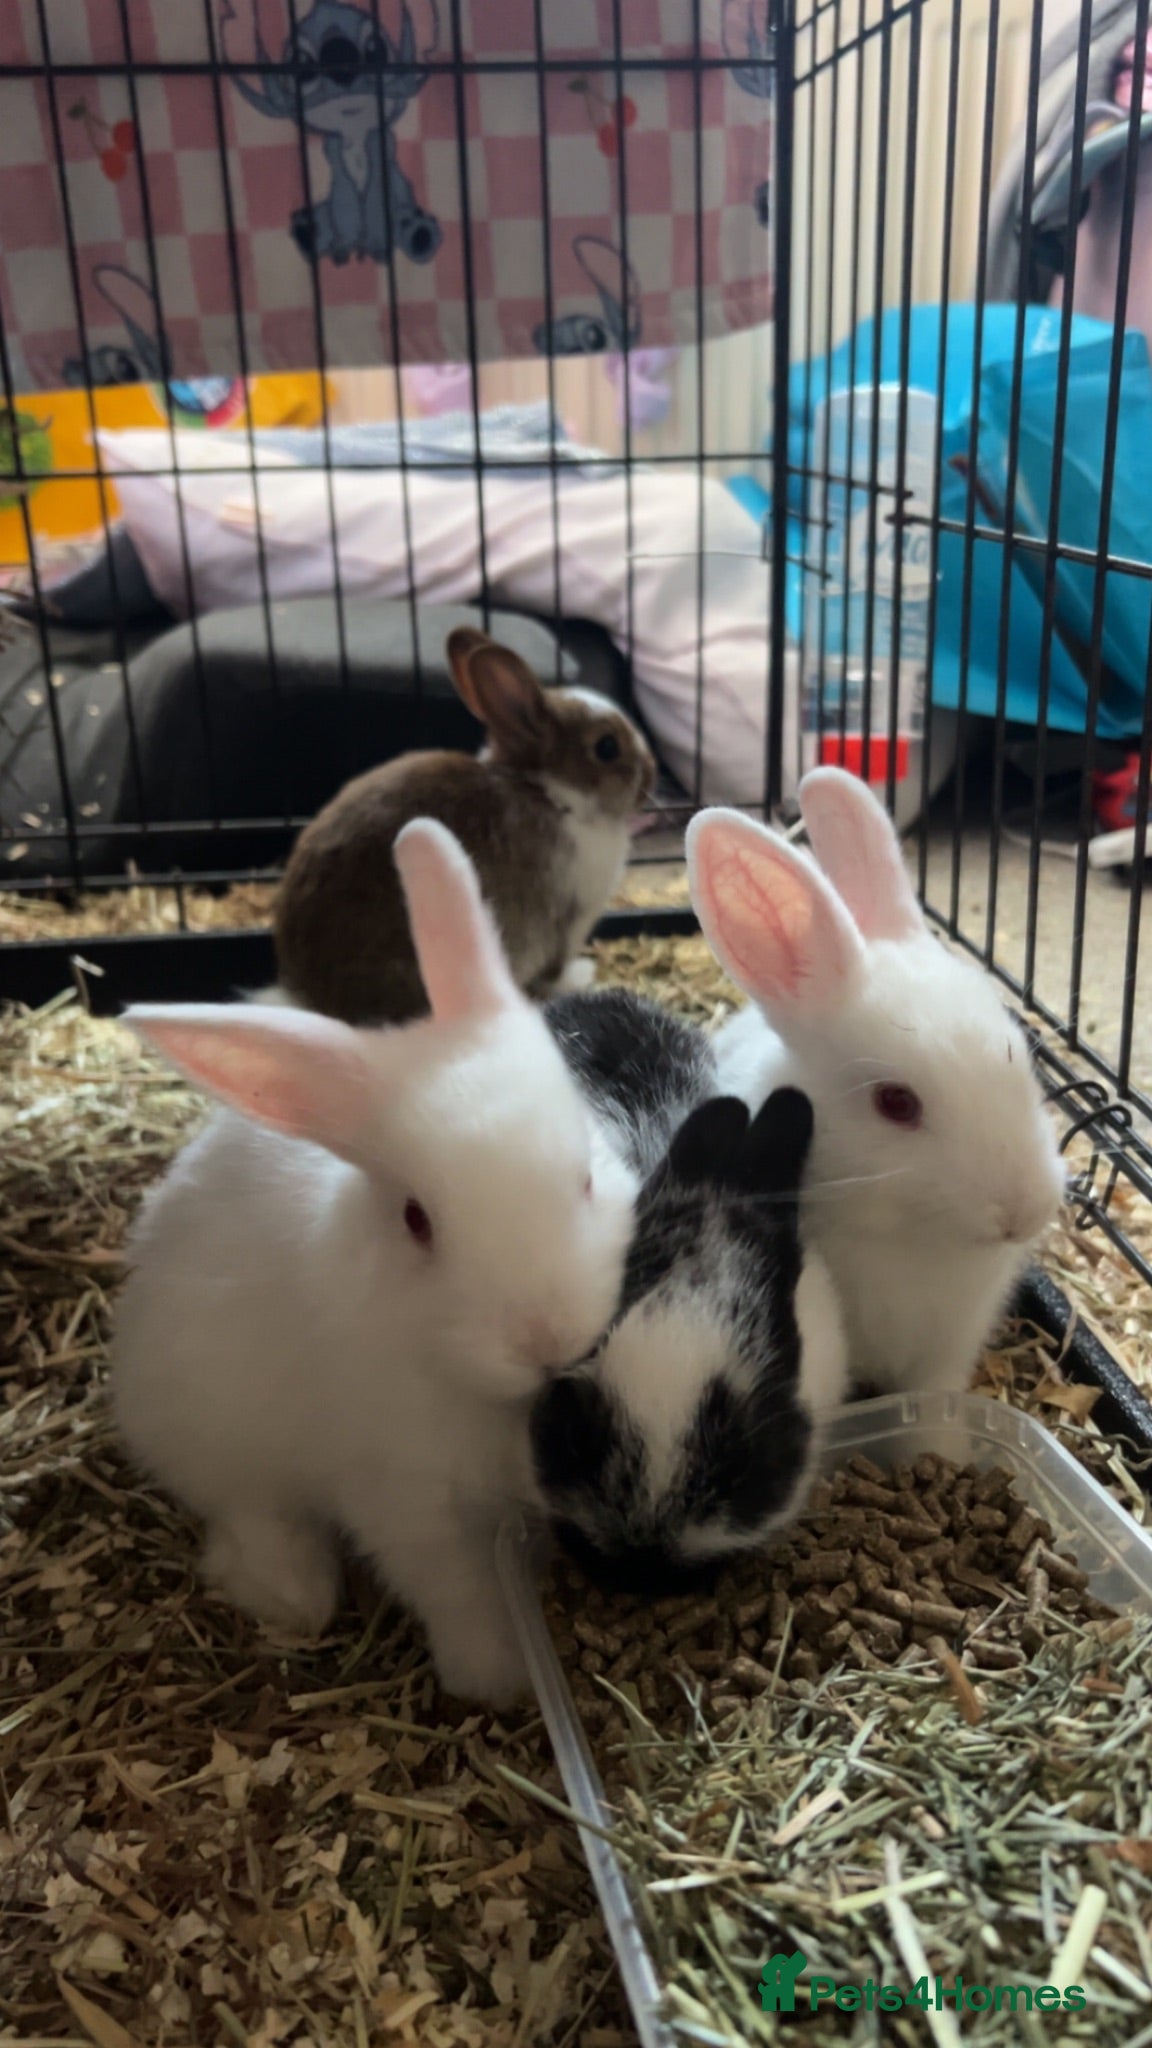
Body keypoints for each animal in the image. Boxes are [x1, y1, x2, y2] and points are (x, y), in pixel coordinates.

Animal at [111, 818, 640, 1708]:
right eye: (417, 1221)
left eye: (588, 1174)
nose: (545, 1338)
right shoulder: (405, 1501)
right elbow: (458, 1590)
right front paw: (498, 1678)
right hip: (213, 1433)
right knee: (246, 1511)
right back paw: (292, 1592)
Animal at [274, 626, 656, 1025]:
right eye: (607, 747)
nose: (652, 774)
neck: (550, 793)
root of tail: (312, 1000)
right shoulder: (568, 920)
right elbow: (555, 971)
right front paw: (582, 977)